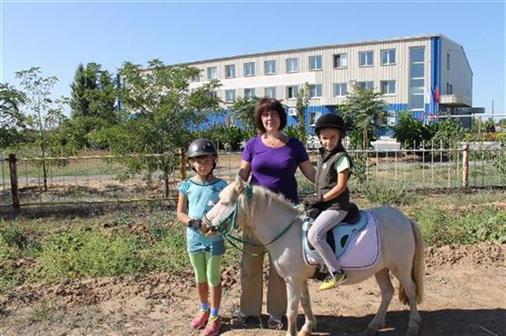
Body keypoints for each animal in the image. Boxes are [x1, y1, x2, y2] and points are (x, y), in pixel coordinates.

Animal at [204, 176, 424, 336]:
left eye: (224, 202)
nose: (202, 224)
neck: (286, 231)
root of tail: (405, 219)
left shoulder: (292, 279)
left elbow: (292, 310)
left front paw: (291, 333)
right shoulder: (300, 278)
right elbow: (305, 302)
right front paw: (307, 328)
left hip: (401, 267)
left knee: (411, 290)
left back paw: (413, 326)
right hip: (381, 268)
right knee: (387, 293)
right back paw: (373, 325)